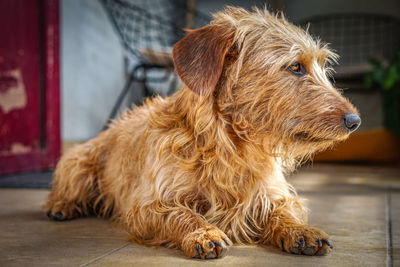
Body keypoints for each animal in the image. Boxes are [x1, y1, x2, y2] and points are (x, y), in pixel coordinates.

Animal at [45, 6, 360, 260]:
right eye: (295, 66)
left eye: (322, 66)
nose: (354, 120)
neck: (228, 145)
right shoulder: (149, 204)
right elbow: (182, 212)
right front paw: (203, 233)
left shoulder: (273, 194)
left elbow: (284, 210)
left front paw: (300, 230)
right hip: (78, 164)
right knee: (65, 187)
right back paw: (61, 205)